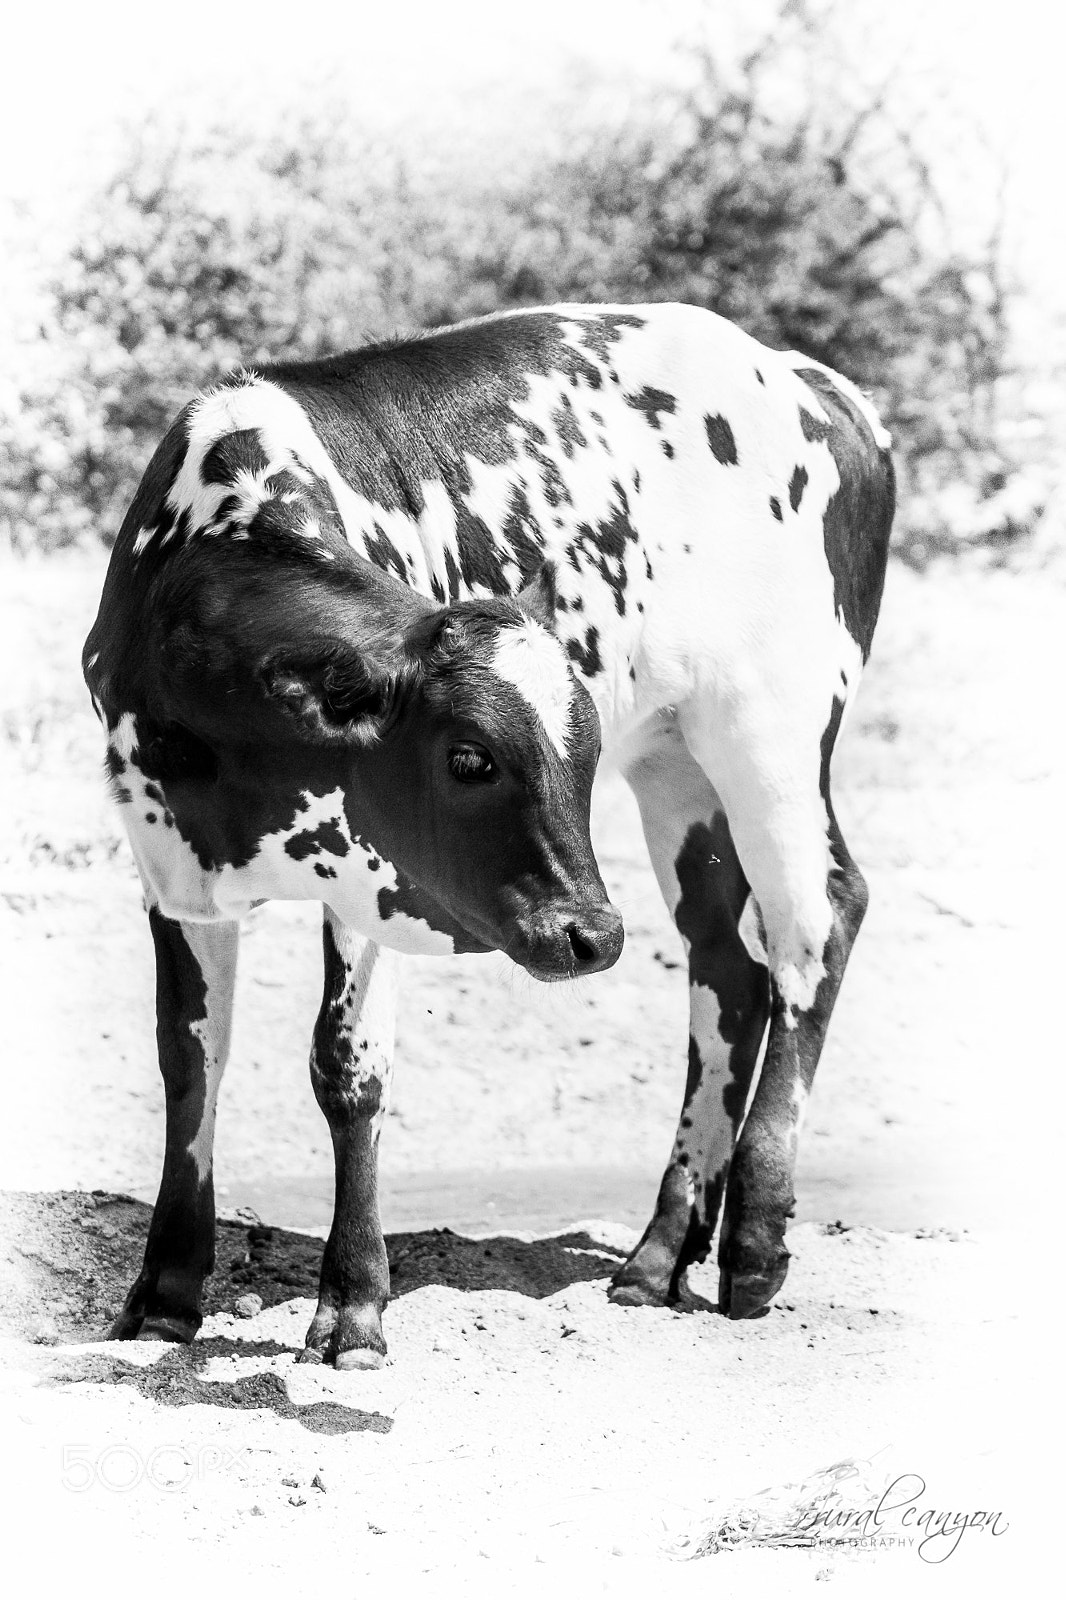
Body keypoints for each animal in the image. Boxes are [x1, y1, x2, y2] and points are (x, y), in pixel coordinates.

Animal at [82, 303, 893, 1369]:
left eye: (575, 757)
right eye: (469, 758)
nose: (593, 936)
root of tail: (806, 377)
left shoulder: (370, 879)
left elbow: (348, 1069)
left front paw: (353, 1305)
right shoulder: (168, 860)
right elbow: (190, 1060)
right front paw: (166, 1290)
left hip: (773, 731)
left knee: (816, 925)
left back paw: (754, 1245)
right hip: (677, 763)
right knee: (729, 968)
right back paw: (659, 1255)